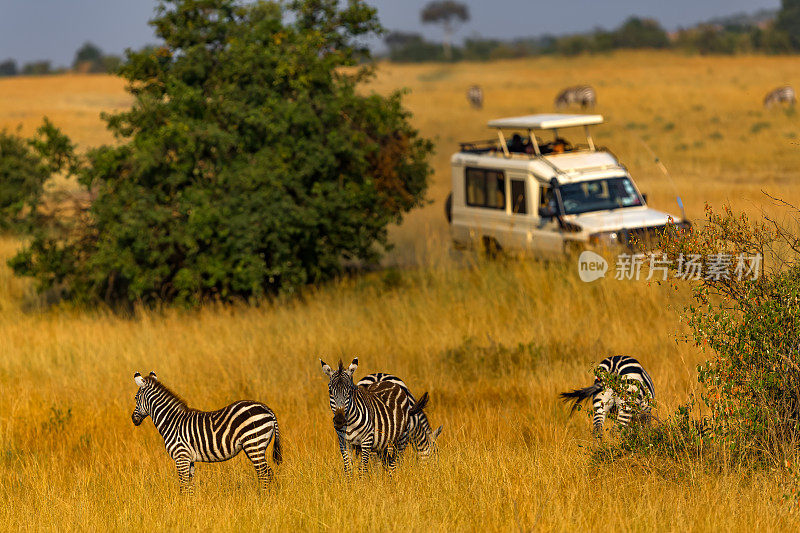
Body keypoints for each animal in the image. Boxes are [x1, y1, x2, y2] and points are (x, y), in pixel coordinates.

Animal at [130, 370, 282, 490]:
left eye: (136, 398)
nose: (133, 419)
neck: (171, 422)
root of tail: (267, 409)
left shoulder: (181, 456)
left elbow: (183, 485)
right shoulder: (189, 459)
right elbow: (190, 486)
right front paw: (189, 505)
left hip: (254, 443)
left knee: (263, 473)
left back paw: (262, 497)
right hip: (257, 446)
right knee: (268, 472)